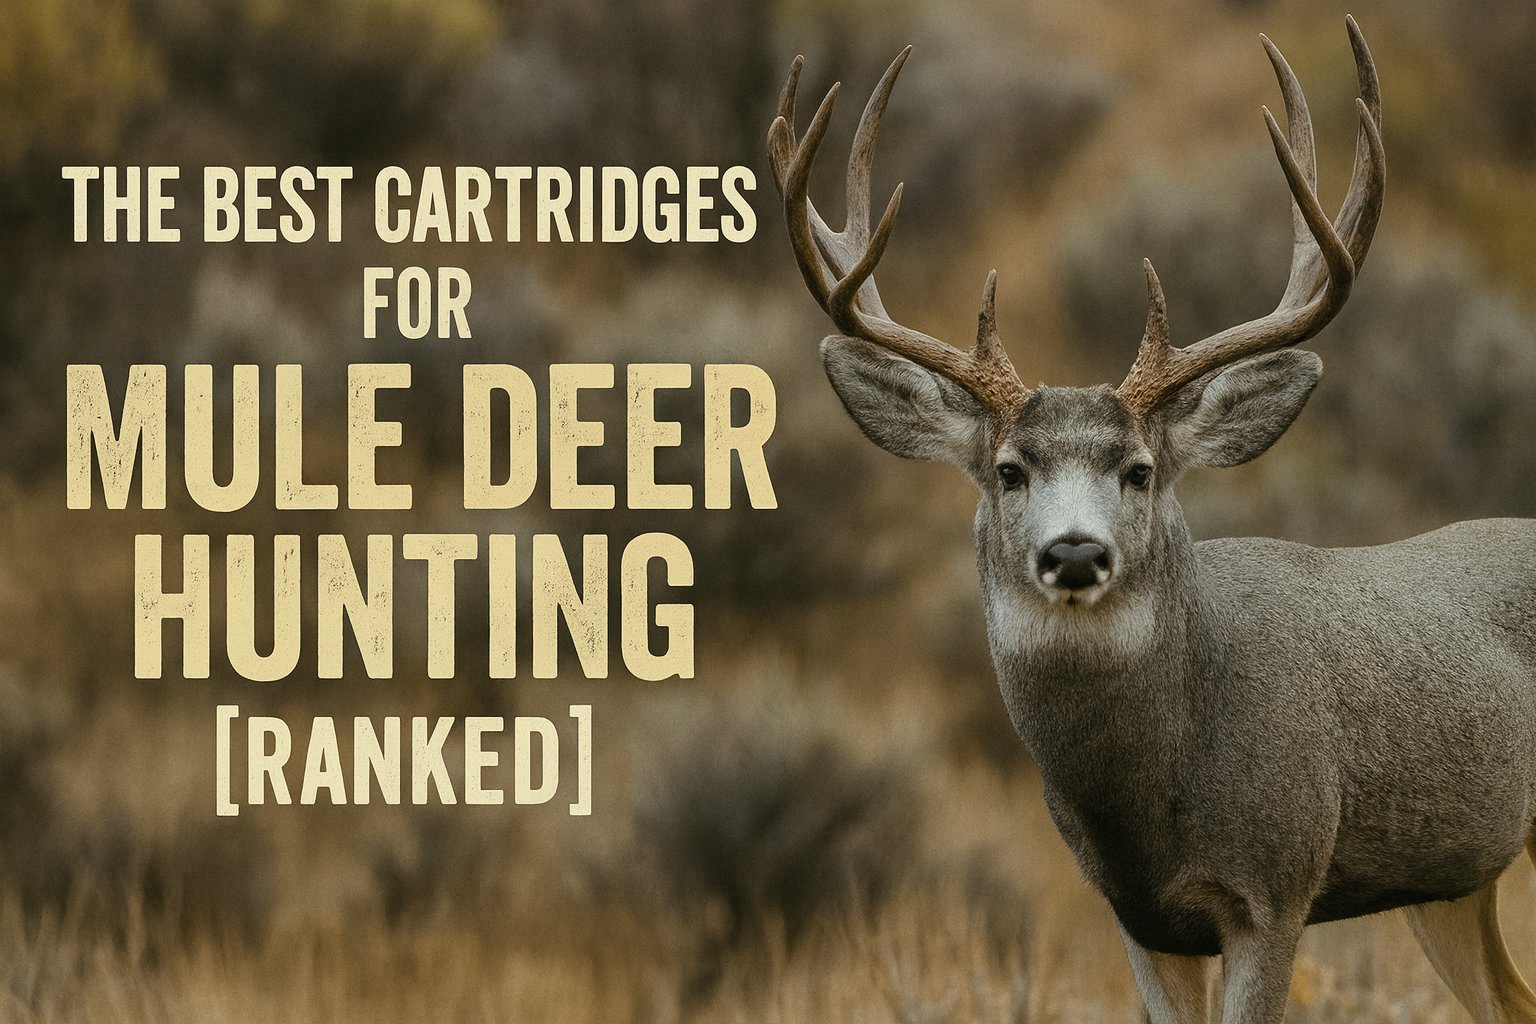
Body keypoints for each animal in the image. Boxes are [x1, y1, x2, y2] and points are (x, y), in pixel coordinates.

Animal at [767, 18, 1536, 1024]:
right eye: (1009, 471)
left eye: (1138, 470)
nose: (1074, 553)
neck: (1153, 799)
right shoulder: (1140, 919)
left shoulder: (1276, 885)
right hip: (1451, 881)